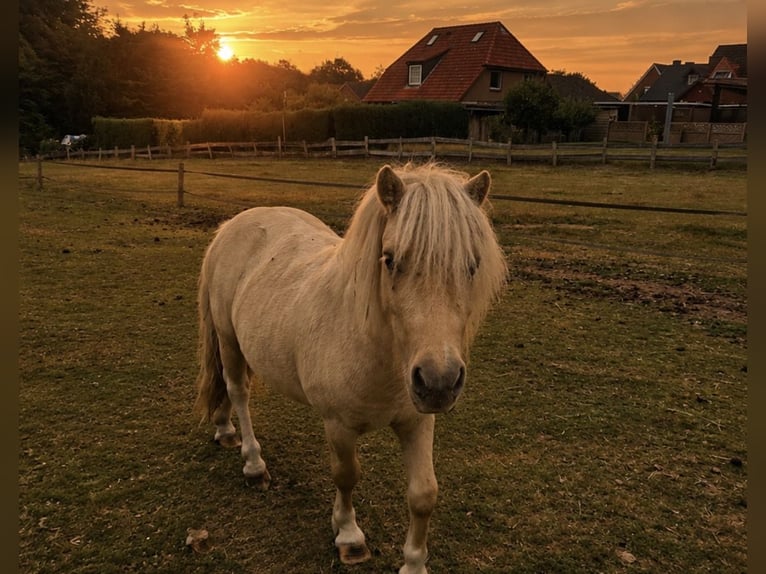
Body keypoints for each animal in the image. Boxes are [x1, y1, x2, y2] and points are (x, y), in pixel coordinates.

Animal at [194, 162, 508, 574]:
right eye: (390, 259)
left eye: (472, 265)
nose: (438, 382)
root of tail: (232, 225)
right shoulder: (338, 425)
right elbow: (346, 476)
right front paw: (348, 536)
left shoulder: (418, 421)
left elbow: (424, 493)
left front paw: (414, 563)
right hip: (228, 340)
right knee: (238, 392)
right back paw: (253, 463)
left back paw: (224, 428)